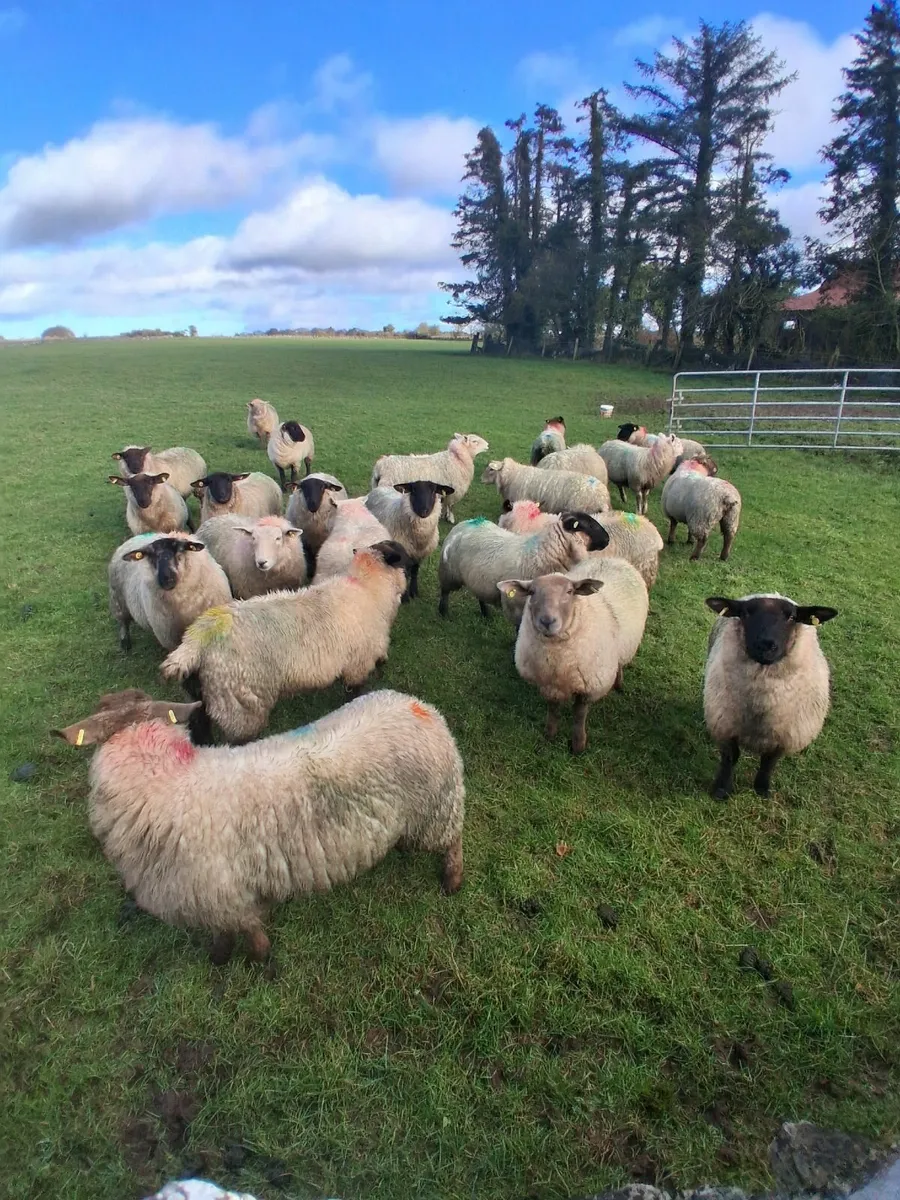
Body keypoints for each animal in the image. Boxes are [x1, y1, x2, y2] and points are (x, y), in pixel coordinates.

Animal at [52, 686, 465, 963]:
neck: (163, 774)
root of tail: (423, 708)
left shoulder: (218, 894)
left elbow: (242, 933)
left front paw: (247, 961)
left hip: (438, 806)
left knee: (454, 841)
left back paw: (452, 880)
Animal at [161, 540, 413, 742]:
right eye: (403, 555)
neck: (367, 587)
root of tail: (198, 636)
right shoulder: (358, 663)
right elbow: (355, 692)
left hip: (200, 693)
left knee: (199, 723)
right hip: (239, 705)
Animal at [438, 512, 609, 618]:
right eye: (589, 525)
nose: (608, 539)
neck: (542, 553)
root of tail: (465, 523)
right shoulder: (515, 604)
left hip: (479, 578)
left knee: (480, 595)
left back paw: (486, 614)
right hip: (449, 573)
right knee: (445, 592)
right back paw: (443, 613)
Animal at [500, 557, 649, 753]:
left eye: (570, 591)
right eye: (531, 592)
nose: (547, 621)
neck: (558, 657)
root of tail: (613, 558)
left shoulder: (588, 686)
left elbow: (579, 715)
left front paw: (578, 746)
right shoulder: (549, 684)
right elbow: (553, 710)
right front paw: (550, 735)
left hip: (623, 647)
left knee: (619, 664)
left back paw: (619, 684)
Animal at [703, 594, 838, 799]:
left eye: (791, 617)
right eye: (745, 613)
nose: (765, 644)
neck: (762, 706)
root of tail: (773, 593)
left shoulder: (785, 735)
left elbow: (769, 762)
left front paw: (762, 789)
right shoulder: (725, 724)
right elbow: (730, 758)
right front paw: (721, 789)